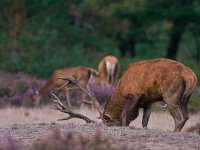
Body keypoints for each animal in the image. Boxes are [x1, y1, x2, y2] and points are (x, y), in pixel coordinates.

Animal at [52, 58, 197, 131]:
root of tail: (191, 77)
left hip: (170, 96)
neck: (121, 88)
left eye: (108, 123)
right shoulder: (148, 101)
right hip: (186, 99)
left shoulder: (134, 94)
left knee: (179, 119)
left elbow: (123, 114)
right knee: (187, 116)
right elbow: (145, 121)